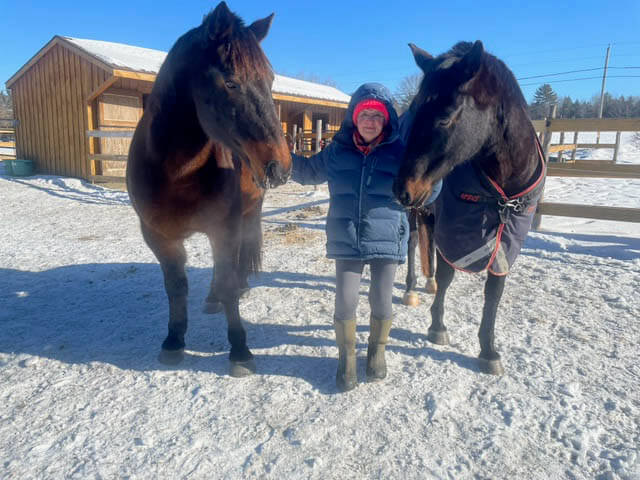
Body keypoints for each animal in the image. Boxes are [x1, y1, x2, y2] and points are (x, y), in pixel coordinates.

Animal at [126, 2, 292, 378]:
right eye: (230, 81)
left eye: (270, 80)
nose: (280, 166)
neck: (176, 172)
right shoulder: (158, 236)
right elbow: (176, 287)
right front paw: (173, 341)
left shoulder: (224, 228)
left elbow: (229, 280)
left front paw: (240, 351)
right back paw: (213, 299)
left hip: (245, 216)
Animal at [396, 40, 544, 376]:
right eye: (415, 110)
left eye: (445, 117)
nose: (402, 189)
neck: (503, 192)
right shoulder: (456, 232)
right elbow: (449, 275)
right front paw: (437, 327)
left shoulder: (507, 241)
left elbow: (494, 291)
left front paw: (488, 350)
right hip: (419, 213)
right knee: (413, 243)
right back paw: (412, 288)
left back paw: (428, 283)